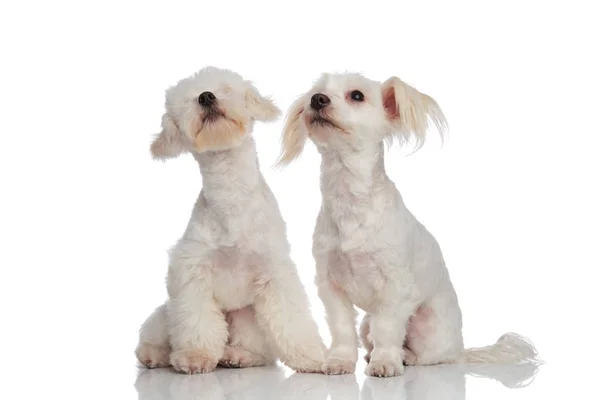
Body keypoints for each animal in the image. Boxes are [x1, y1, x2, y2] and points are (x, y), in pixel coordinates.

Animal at [135, 66, 326, 376]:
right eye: (188, 99)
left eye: (225, 88)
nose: (205, 96)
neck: (232, 199)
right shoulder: (192, 270)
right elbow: (197, 320)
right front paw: (195, 356)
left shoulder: (274, 269)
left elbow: (292, 319)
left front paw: (313, 358)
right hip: (166, 313)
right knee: (157, 335)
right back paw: (154, 355)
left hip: (247, 315)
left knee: (256, 348)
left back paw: (238, 356)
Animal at [276, 72, 540, 378]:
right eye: (315, 93)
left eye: (357, 95)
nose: (318, 100)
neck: (350, 200)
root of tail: (460, 348)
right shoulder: (331, 285)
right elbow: (342, 329)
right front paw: (340, 361)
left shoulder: (395, 286)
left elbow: (388, 328)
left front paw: (385, 363)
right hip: (366, 323)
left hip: (429, 329)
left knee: (431, 356)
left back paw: (406, 357)